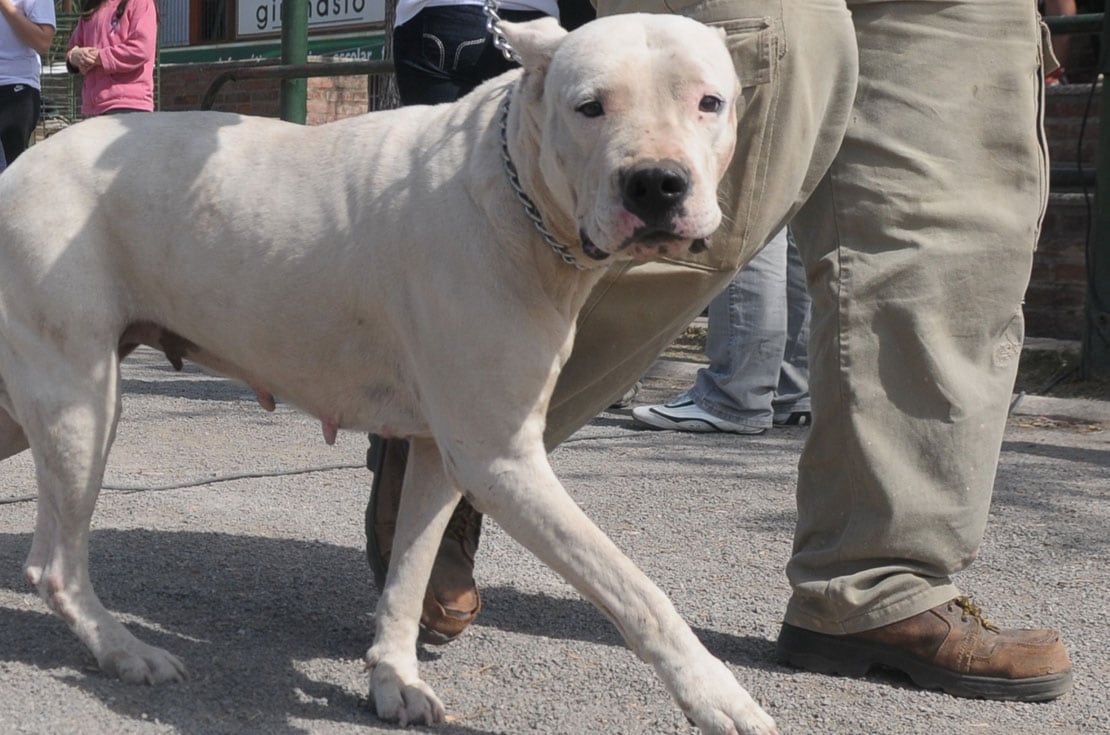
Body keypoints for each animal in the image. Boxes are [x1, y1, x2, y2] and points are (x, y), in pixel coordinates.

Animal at [0, 12, 777, 735]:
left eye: (710, 102)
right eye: (590, 106)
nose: (657, 183)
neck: (510, 187)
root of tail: (17, 170)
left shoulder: (444, 452)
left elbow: (409, 572)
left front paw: (393, 677)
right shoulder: (501, 459)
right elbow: (635, 587)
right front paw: (716, 692)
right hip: (81, 402)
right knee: (57, 564)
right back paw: (126, 651)